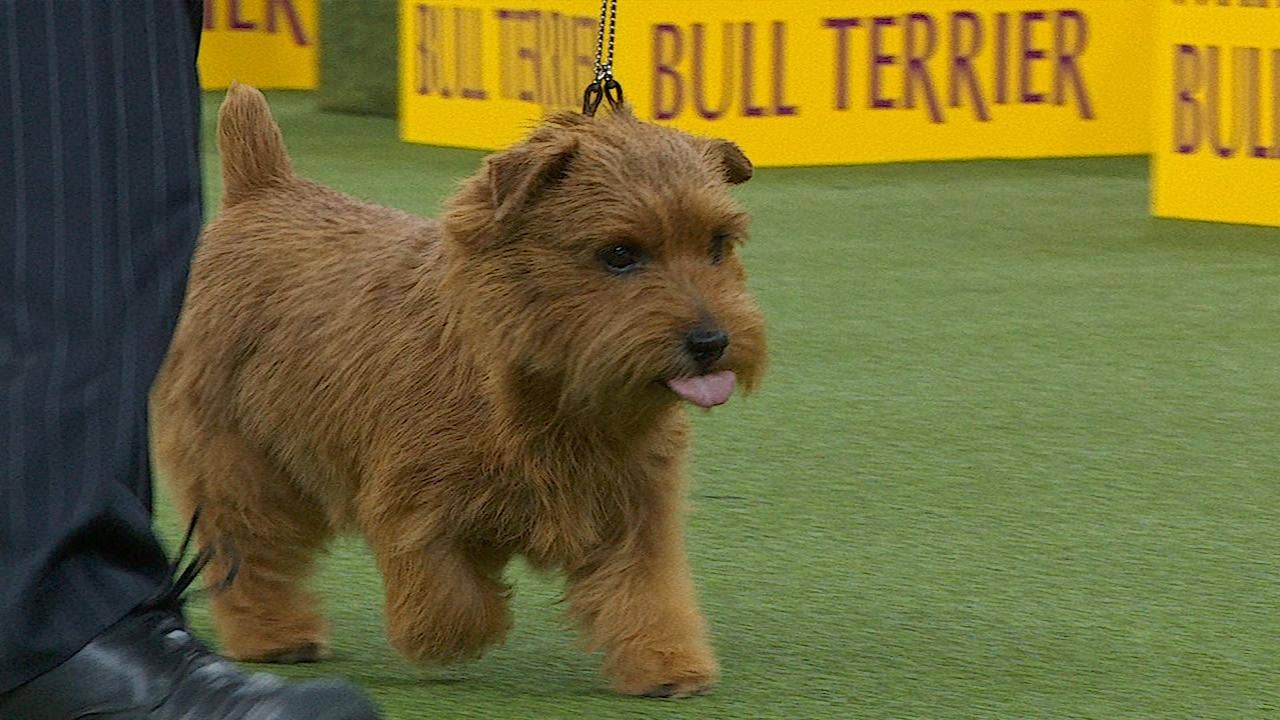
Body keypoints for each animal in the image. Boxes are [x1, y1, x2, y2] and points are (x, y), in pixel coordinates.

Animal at [152, 83, 768, 696]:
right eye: (619, 254)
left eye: (718, 244)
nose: (712, 340)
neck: (551, 393)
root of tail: (261, 190)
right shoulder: (414, 502)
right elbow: (451, 596)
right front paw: (449, 637)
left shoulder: (636, 504)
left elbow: (648, 592)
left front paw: (668, 663)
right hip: (238, 461)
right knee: (248, 550)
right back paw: (275, 635)